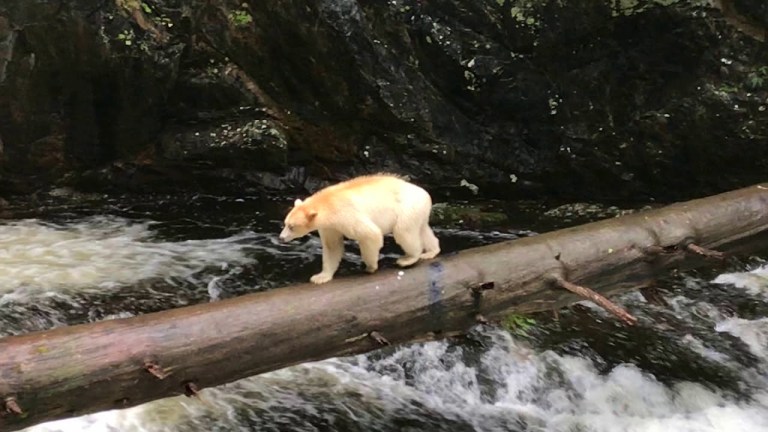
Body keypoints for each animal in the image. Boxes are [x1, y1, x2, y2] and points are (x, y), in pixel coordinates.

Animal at [280, 172, 440, 284]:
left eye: (292, 227)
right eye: (285, 223)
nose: (281, 237)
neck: (328, 203)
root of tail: (425, 193)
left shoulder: (345, 214)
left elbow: (370, 234)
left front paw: (370, 267)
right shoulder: (330, 226)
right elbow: (332, 246)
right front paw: (320, 277)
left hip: (407, 208)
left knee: (403, 232)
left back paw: (408, 259)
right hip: (418, 211)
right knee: (422, 229)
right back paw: (431, 252)